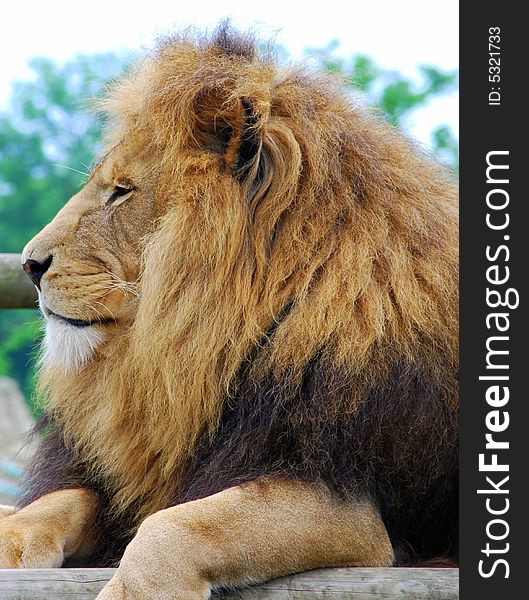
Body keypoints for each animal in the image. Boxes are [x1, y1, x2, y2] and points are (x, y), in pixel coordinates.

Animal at [0, 24, 458, 600]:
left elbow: (174, 526)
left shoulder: (349, 501)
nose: (29, 264)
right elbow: (56, 502)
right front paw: (11, 536)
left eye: (120, 192)